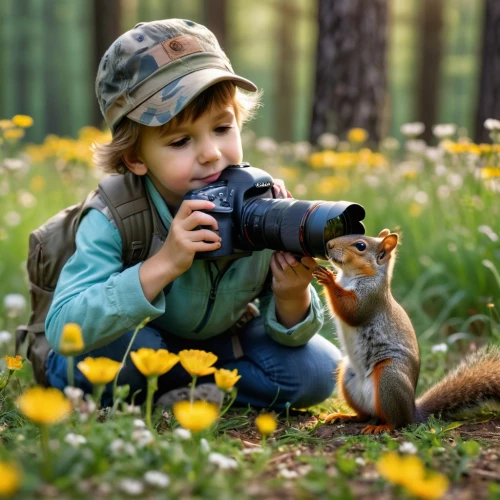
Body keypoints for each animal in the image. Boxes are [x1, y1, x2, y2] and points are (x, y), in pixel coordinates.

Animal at [312, 229, 500, 434]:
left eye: (360, 245)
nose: (328, 245)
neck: (349, 276)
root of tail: (412, 411)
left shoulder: (370, 297)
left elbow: (351, 311)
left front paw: (328, 279)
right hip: (348, 376)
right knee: (365, 415)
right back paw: (345, 416)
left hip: (389, 377)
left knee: (396, 422)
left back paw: (382, 426)